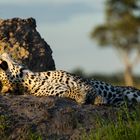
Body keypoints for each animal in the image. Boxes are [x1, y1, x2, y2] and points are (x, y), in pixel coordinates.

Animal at [0, 52, 140, 106]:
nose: (2, 52)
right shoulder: (58, 91)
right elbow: (71, 91)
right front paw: (81, 98)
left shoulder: (80, 81)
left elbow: (90, 89)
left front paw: (99, 99)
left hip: (132, 93)